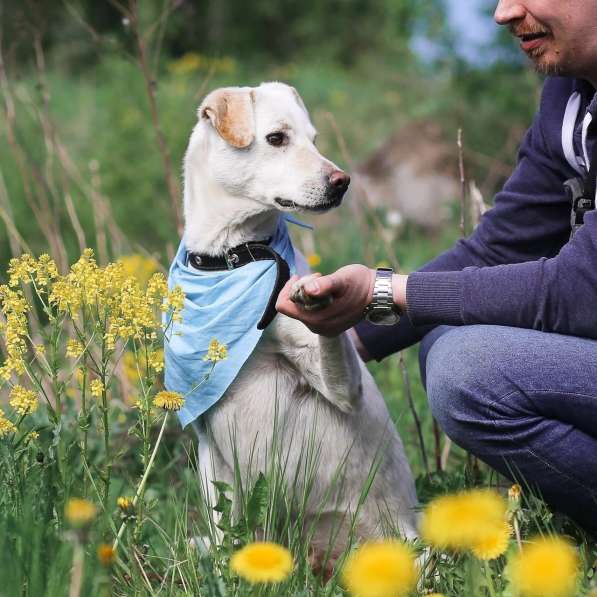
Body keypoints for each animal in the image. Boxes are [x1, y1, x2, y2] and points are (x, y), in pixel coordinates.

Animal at [179, 82, 416, 564]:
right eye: (276, 138)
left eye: (314, 139)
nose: (342, 181)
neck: (235, 257)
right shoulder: (208, 440)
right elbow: (222, 533)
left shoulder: (344, 389)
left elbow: (327, 334)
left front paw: (316, 293)